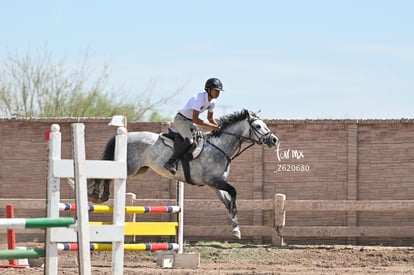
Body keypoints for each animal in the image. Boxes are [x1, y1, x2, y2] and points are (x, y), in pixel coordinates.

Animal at [90, 109, 278, 238]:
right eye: (258, 126)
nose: (274, 140)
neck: (220, 147)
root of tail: (126, 135)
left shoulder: (214, 184)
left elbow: (226, 200)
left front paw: (236, 228)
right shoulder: (212, 180)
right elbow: (233, 192)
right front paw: (235, 220)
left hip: (139, 170)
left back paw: (102, 195)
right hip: (129, 167)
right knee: (107, 173)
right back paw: (97, 195)